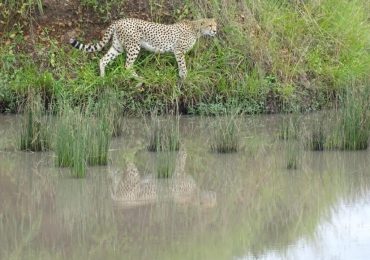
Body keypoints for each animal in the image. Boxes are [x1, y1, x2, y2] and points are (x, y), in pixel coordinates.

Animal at [70, 18, 217, 77]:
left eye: (216, 25)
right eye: (210, 25)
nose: (215, 31)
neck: (196, 28)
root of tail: (119, 20)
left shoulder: (178, 51)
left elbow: (181, 65)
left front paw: (182, 76)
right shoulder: (179, 50)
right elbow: (183, 64)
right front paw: (184, 76)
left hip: (118, 47)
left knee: (103, 60)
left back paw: (102, 77)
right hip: (134, 46)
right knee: (127, 66)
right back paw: (139, 78)